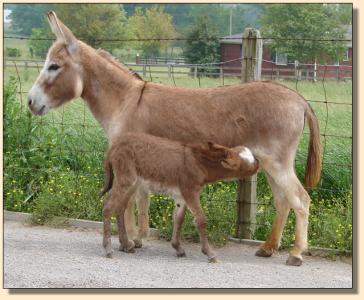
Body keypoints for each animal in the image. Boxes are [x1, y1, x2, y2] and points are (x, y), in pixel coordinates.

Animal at [100, 134, 258, 262]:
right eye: (245, 165)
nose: (258, 163)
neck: (199, 164)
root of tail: (114, 146)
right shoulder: (190, 192)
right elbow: (201, 220)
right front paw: (210, 253)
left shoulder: (181, 197)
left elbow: (179, 219)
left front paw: (178, 248)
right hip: (125, 179)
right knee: (108, 206)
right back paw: (108, 249)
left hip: (133, 183)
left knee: (120, 207)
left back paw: (126, 245)